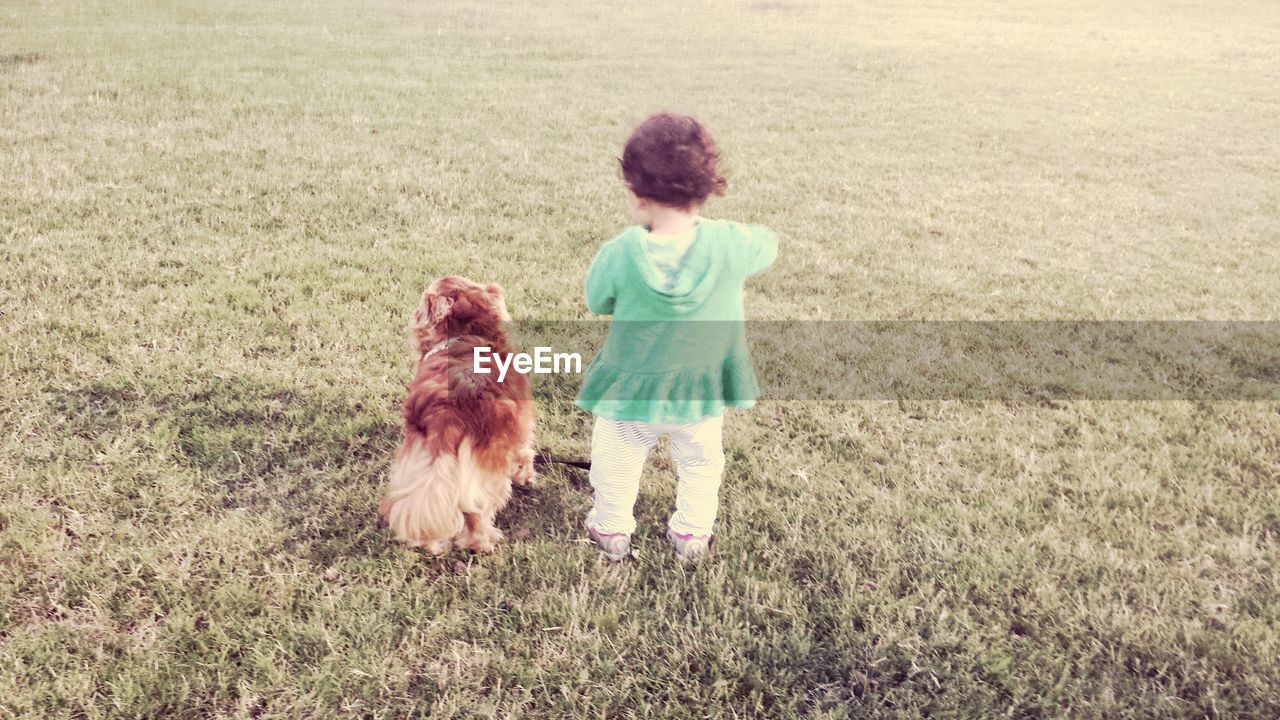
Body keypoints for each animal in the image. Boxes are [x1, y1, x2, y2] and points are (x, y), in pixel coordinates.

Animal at [378, 274, 540, 548]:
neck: (466, 334)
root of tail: (448, 411)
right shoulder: (521, 427)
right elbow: (526, 452)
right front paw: (526, 476)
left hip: (418, 462)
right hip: (487, 472)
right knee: (477, 510)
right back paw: (482, 542)